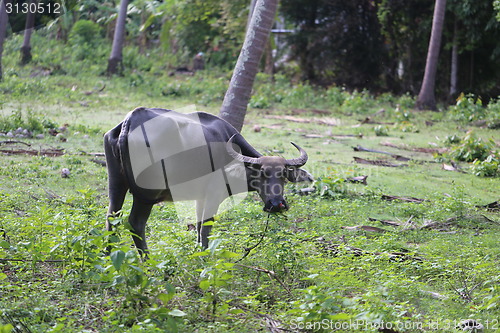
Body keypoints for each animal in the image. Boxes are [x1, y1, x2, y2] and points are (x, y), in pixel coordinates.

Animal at [104, 107, 310, 253]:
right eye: (262, 173)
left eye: (283, 175)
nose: (276, 204)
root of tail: (129, 123)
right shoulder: (214, 194)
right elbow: (206, 227)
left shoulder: (200, 197)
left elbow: (198, 224)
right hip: (146, 194)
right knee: (135, 222)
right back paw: (147, 260)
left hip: (116, 184)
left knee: (111, 217)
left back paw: (107, 255)